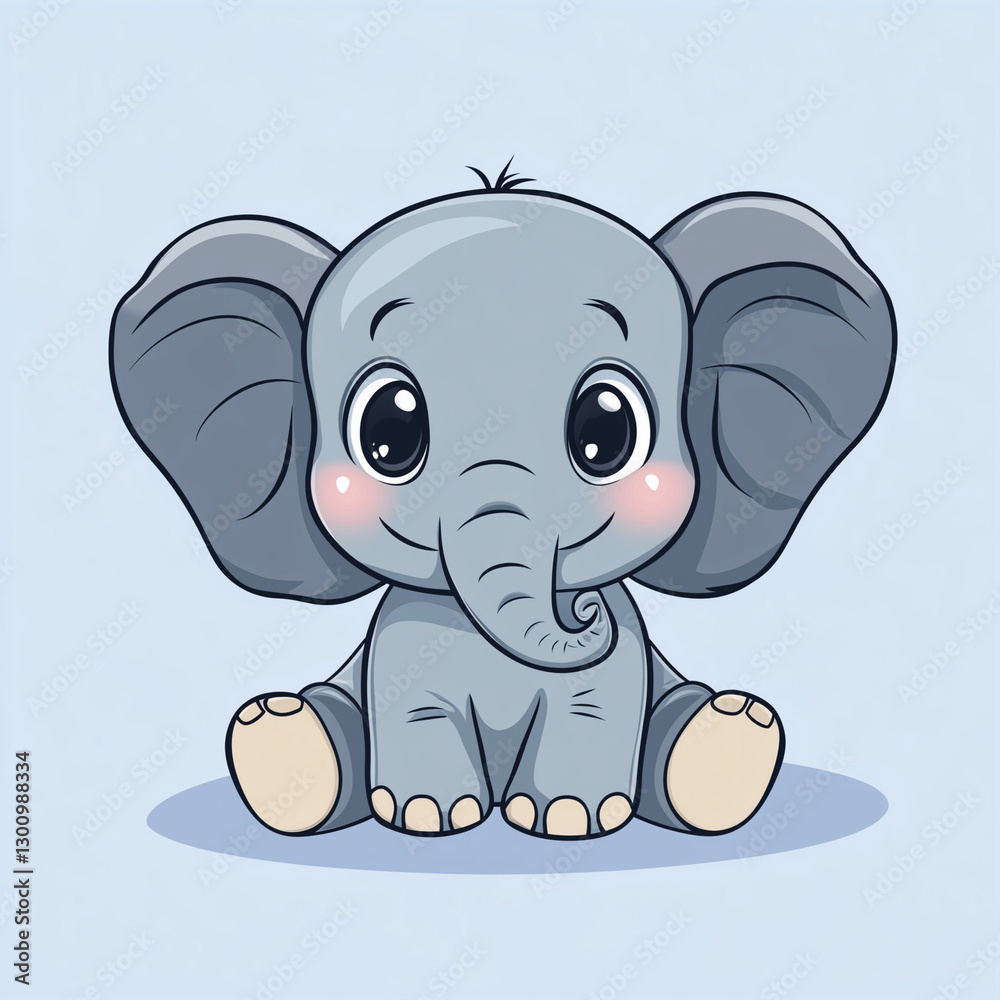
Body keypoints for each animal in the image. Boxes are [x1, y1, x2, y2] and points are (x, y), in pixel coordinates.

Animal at [110, 166, 895, 839]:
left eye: (607, 429)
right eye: (388, 431)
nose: (582, 610)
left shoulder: (617, 662)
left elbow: (595, 705)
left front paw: (572, 820)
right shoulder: (405, 643)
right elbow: (415, 708)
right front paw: (427, 816)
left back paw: (729, 736)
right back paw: (281, 735)